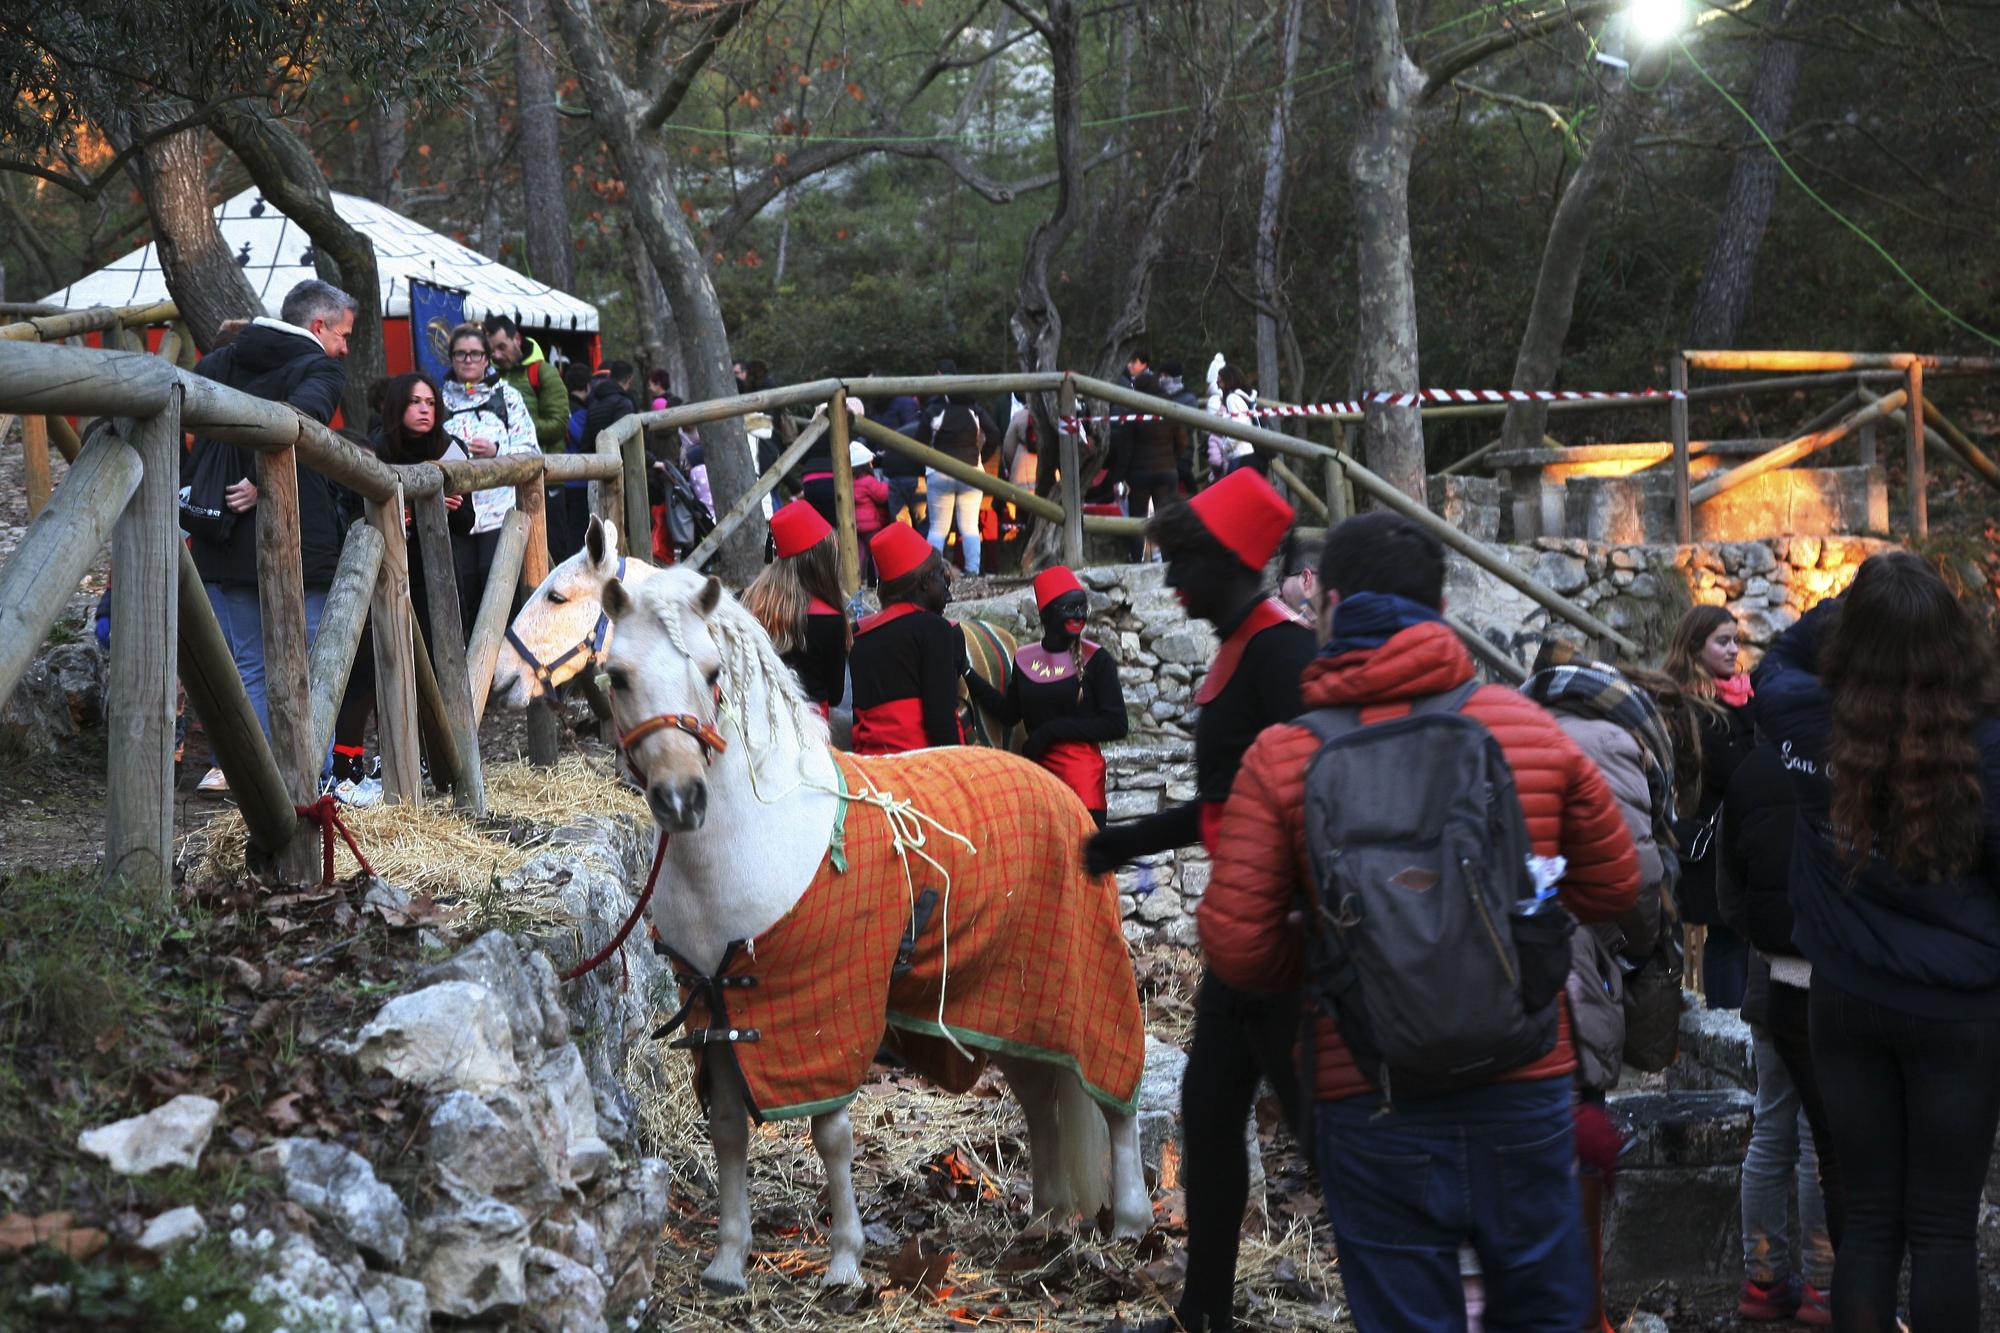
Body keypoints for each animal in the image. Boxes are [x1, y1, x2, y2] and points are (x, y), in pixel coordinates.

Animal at [600, 564, 1152, 1288]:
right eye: (616, 675)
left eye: (714, 670)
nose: (680, 798)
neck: (760, 835)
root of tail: (1059, 789)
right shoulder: (720, 1014)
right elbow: (727, 1130)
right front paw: (727, 1260)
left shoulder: (826, 1013)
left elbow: (832, 1137)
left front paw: (844, 1263)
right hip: (1008, 998)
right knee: (1039, 1094)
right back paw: (1046, 1217)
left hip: (1086, 980)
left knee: (1114, 1094)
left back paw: (1133, 1223)